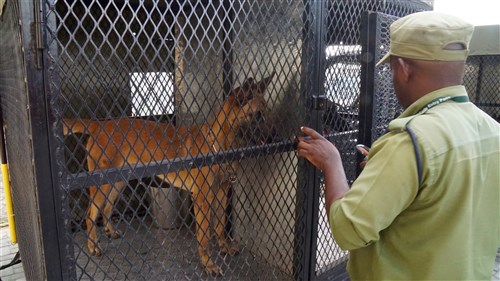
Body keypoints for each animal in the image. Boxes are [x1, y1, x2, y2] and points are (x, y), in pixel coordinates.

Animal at [63, 74, 276, 274]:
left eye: (267, 112)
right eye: (258, 115)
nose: (275, 138)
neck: (218, 145)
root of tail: (98, 125)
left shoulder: (223, 192)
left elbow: (220, 225)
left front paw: (223, 245)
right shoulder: (202, 199)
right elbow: (204, 237)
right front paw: (207, 263)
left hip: (117, 183)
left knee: (107, 207)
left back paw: (110, 230)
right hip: (102, 185)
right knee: (90, 215)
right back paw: (93, 246)